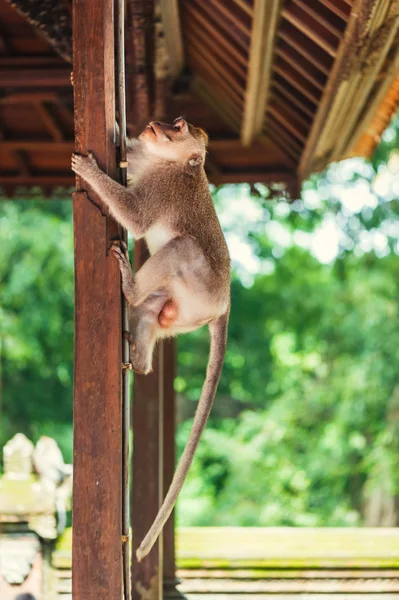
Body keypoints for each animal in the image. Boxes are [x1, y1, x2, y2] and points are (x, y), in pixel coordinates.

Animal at [72, 118, 231, 564]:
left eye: (177, 127)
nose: (157, 124)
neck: (170, 163)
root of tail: (224, 303)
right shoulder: (147, 156)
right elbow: (130, 151)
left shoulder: (165, 186)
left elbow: (138, 217)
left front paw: (89, 171)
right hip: (180, 309)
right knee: (149, 312)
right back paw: (138, 355)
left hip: (198, 289)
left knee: (181, 247)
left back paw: (129, 288)